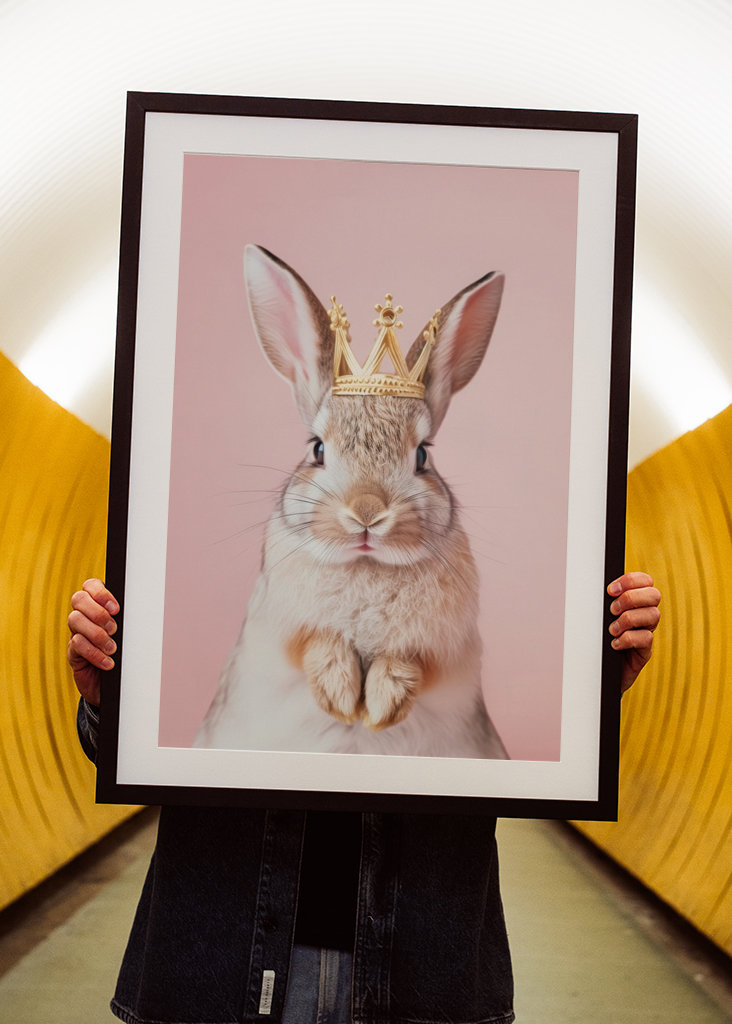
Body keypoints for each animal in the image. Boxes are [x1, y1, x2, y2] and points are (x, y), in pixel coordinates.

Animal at [194, 244, 508, 758]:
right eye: (317, 449)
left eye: (423, 455)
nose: (366, 512)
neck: (367, 565)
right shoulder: (278, 627)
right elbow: (315, 643)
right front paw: (341, 695)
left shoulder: (448, 649)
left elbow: (412, 660)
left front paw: (382, 705)